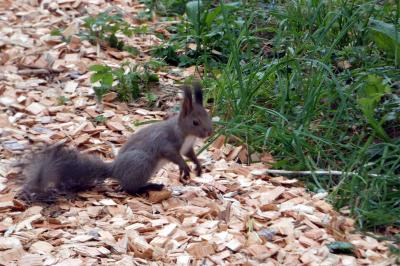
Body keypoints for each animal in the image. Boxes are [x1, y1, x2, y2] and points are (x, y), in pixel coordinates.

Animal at [18, 82, 212, 203]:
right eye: (195, 122)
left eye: (208, 116)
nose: (210, 132)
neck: (186, 134)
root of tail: (115, 170)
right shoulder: (167, 142)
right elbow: (174, 155)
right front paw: (184, 167)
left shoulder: (187, 147)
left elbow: (190, 155)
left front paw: (198, 166)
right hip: (141, 163)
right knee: (129, 188)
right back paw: (150, 186)